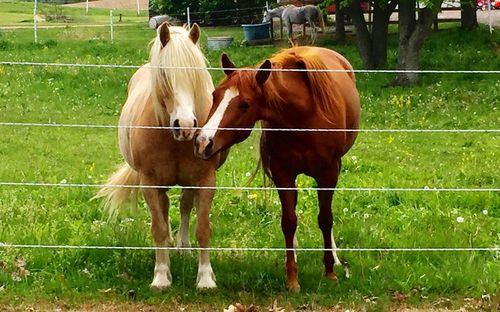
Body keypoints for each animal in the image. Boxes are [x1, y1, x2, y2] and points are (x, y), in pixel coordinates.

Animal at [95, 22, 225, 290]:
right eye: (165, 75)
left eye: (195, 75)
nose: (185, 126)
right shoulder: (150, 183)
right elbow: (158, 228)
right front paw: (162, 276)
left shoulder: (206, 181)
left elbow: (202, 228)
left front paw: (206, 278)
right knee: (165, 211)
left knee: (185, 206)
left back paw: (183, 247)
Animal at [194, 47, 360, 292]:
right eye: (215, 96)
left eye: (244, 104)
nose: (203, 142)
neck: (303, 116)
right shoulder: (283, 175)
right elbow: (289, 222)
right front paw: (292, 279)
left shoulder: (328, 173)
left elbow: (325, 219)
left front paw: (329, 272)